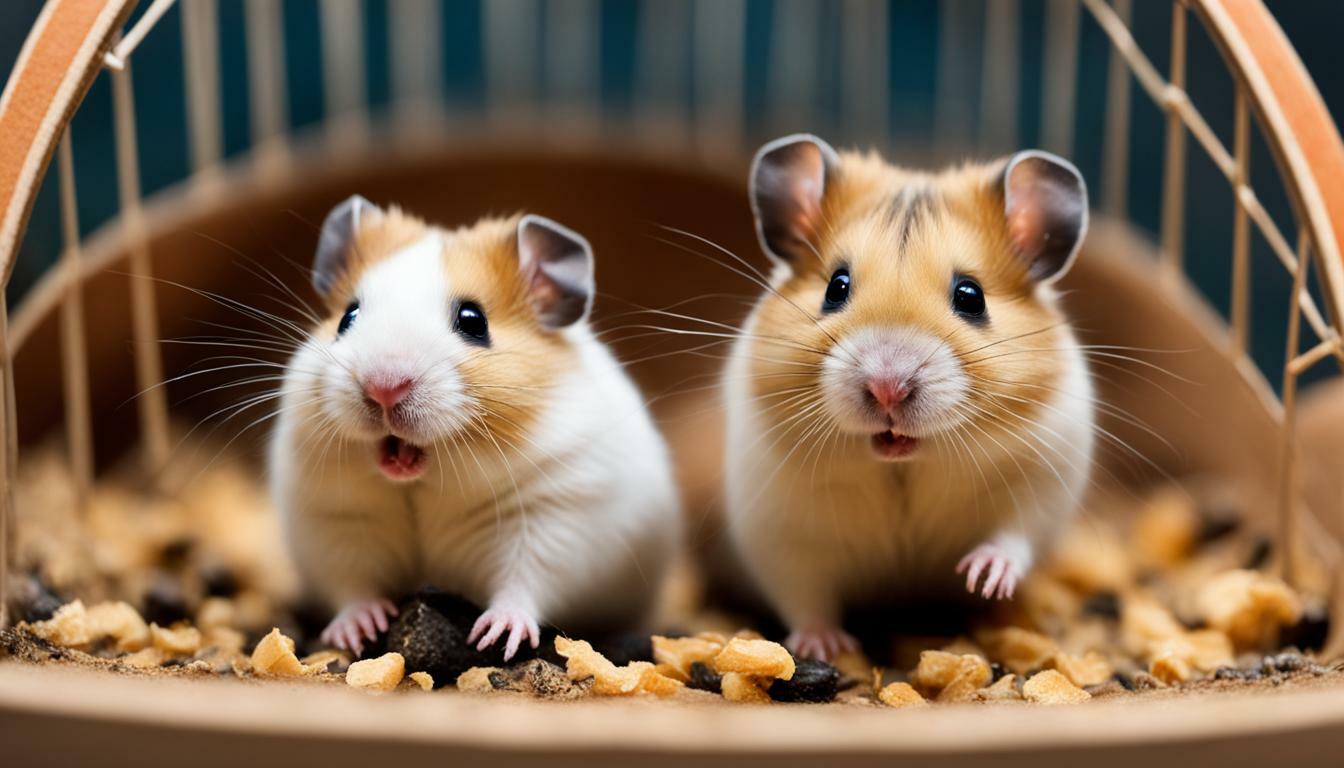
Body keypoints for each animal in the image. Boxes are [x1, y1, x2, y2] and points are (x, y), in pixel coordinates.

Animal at [270, 198, 679, 659]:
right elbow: (354, 585)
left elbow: (524, 582)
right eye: (347, 317)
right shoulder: (338, 521)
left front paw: (495, 636)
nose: (383, 388)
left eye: (473, 321)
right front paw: (359, 631)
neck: (422, 482)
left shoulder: (550, 515)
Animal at [723, 135, 1094, 660]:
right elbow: (805, 594)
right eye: (836, 287)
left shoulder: (1040, 482)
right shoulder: (784, 532)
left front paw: (980, 578)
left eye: (971, 296)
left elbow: (1012, 536)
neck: (902, 464)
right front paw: (824, 647)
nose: (887, 386)